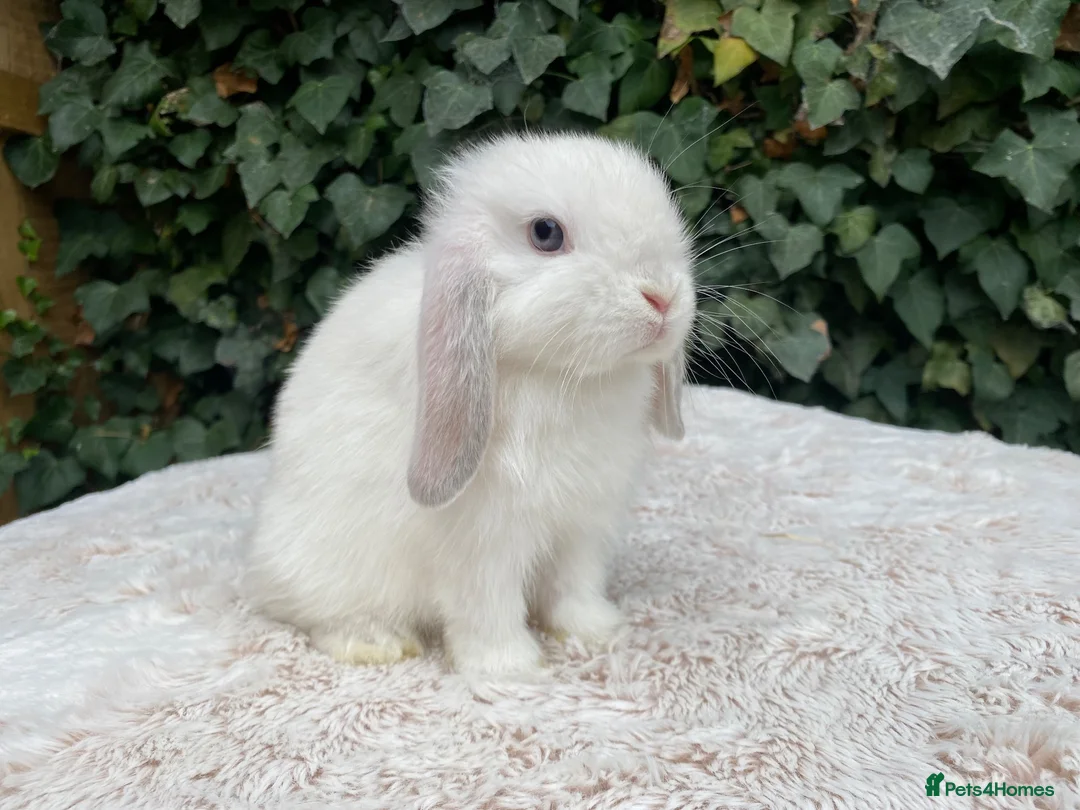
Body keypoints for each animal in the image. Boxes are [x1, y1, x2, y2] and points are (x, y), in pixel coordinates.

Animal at [243, 130, 695, 680]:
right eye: (546, 233)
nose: (662, 296)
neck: (566, 378)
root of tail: (261, 570)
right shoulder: (484, 541)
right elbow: (487, 604)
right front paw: (510, 668)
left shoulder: (583, 524)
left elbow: (574, 586)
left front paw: (595, 633)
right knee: (322, 619)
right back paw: (376, 643)